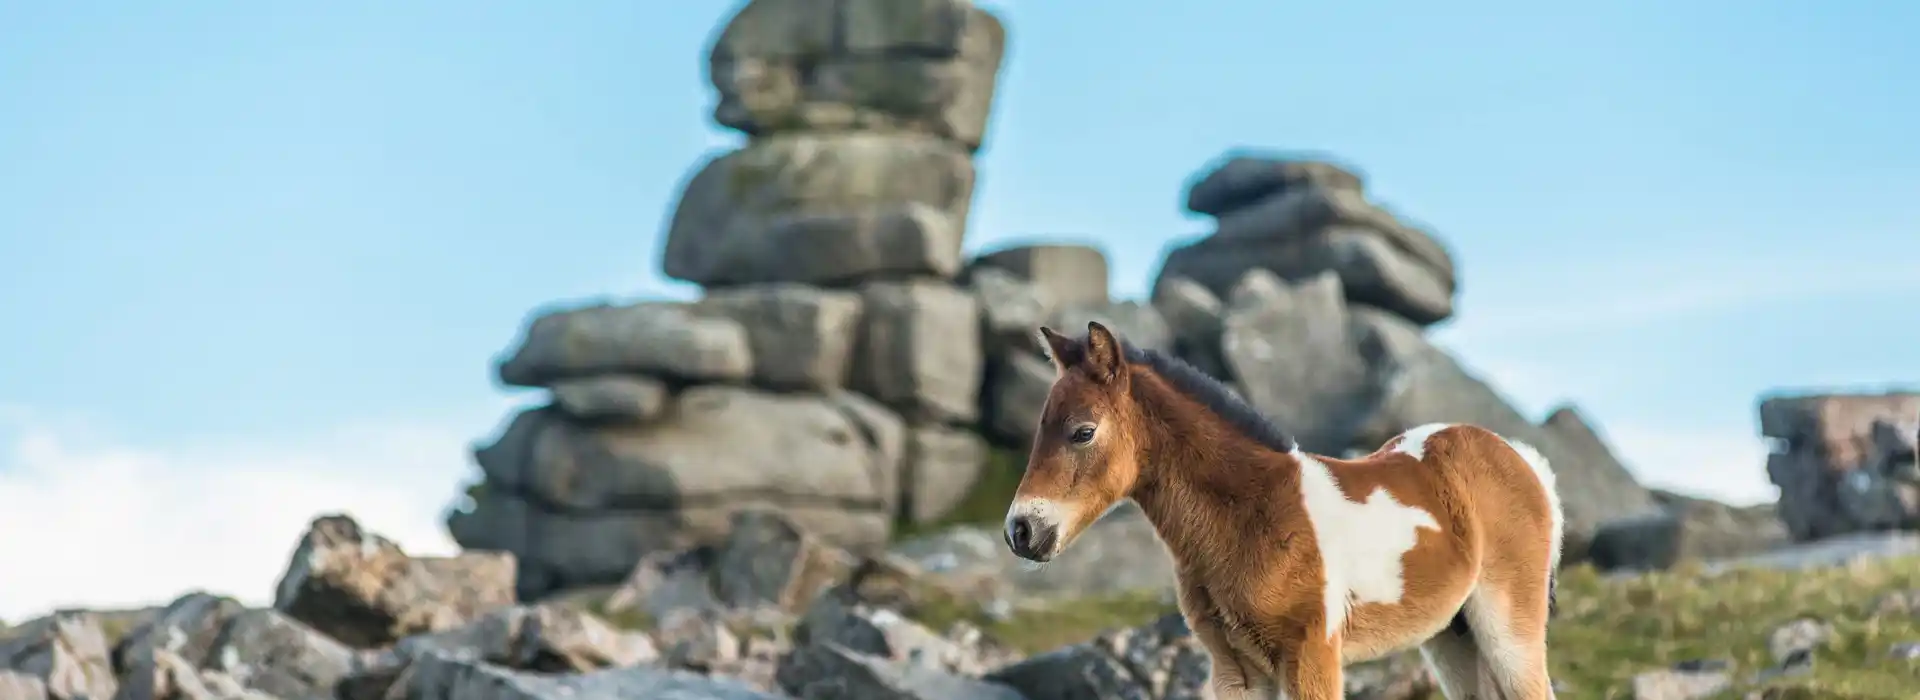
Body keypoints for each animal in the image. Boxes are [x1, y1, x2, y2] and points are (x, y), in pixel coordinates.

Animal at [1006, 322, 1559, 698]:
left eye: (1083, 432)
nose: (1021, 531)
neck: (1256, 515)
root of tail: (1519, 456)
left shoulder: (1313, 657)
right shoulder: (1235, 670)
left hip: (1508, 631)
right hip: (1451, 637)